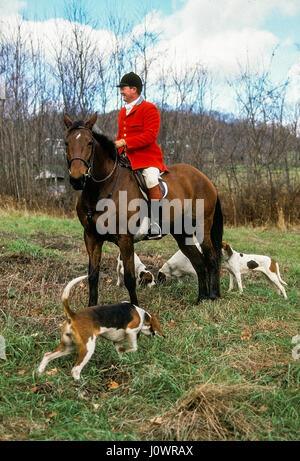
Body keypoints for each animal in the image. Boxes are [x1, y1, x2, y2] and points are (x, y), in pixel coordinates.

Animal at [63, 112, 223, 306]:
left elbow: (130, 278)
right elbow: (93, 276)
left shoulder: (125, 239)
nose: (77, 179)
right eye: (66, 142)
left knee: (211, 258)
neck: (101, 190)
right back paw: (201, 298)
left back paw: (212, 296)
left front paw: (135, 308)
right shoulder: (91, 237)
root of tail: (204, 177)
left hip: (202, 228)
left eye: (89, 143)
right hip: (182, 233)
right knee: (198, 262)